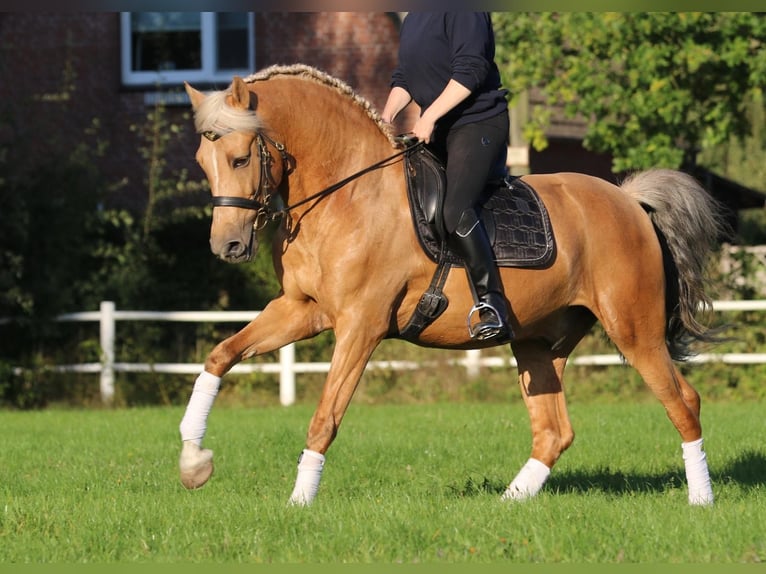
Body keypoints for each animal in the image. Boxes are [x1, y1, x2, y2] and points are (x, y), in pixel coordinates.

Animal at [178, 64, 725, 506]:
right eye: (203, 162)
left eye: (241, 159)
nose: (226, 246)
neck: (345, 195)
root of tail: (629, 201)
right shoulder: (301, 309)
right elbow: (220, 356)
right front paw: (193, 460)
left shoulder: (361, 325)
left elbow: (325, 416)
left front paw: (299, 502)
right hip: (538, 341)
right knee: (555, 432)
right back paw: (509, 502)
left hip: (634, 330)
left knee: (685, 402)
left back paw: (701, 500)